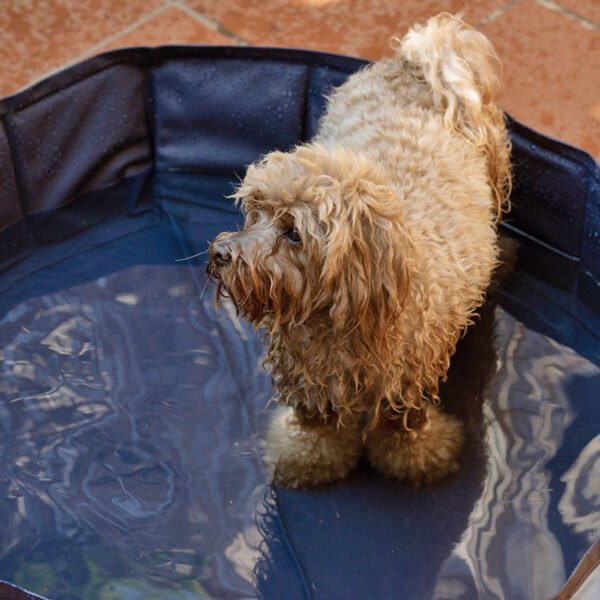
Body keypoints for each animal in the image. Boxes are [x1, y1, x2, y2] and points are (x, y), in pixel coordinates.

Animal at [207, 15, 510, 488]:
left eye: (293, 233)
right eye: (255, 212)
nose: (222, 253)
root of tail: (419, 62)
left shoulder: (409, 378)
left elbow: (402, 424)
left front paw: (417, 458)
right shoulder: (309, 379)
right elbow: (319, 426)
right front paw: (310, 458)